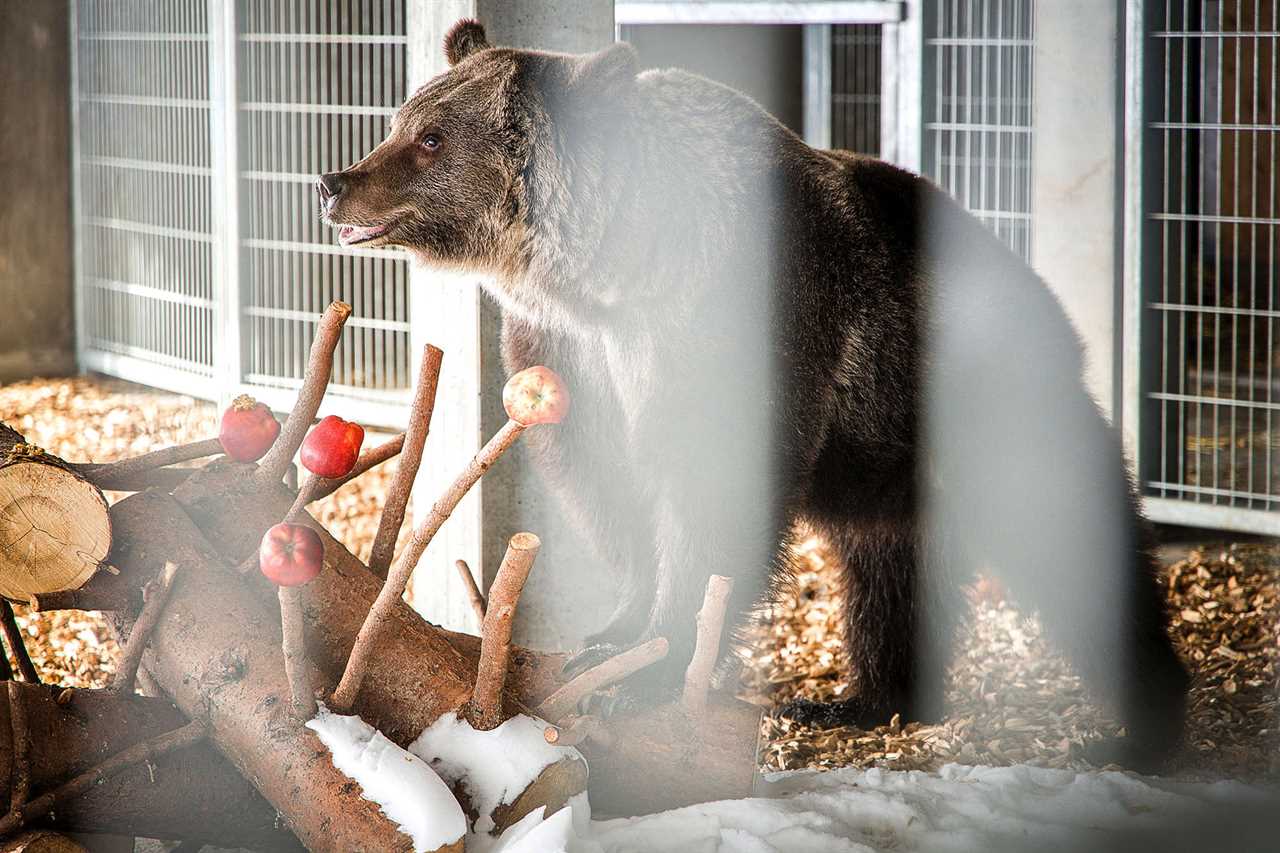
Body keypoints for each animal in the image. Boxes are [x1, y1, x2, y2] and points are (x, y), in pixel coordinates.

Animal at [317, 19, 1187, 768]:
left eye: (432, 139)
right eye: (401, 117)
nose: (334, 180)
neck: (614, 277)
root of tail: (1052, 314)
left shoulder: (738, 323)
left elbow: (708, 491)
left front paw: (646, 669)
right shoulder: (573, 356)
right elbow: (610, 491)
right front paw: (615, 634)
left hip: (992, 404)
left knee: (1072, 545)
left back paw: (1143, 722)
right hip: (887, 465)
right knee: (888, 567)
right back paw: (863, 697)